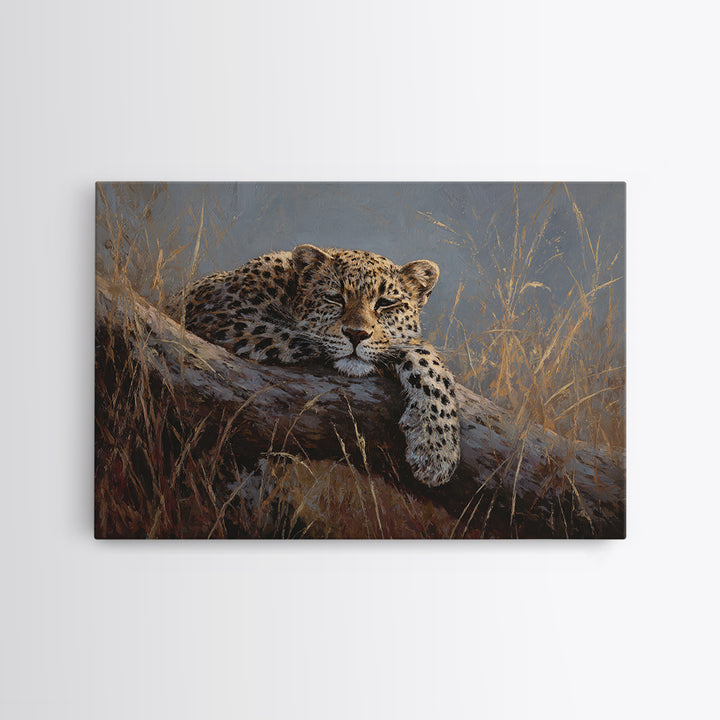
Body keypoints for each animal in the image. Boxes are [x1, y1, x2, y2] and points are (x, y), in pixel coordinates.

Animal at [168, 244, 460, 487]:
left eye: (385, 303)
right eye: (335, 298)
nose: (356, 334)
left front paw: (437, 450)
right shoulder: (223, 317)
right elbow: (309, 339)